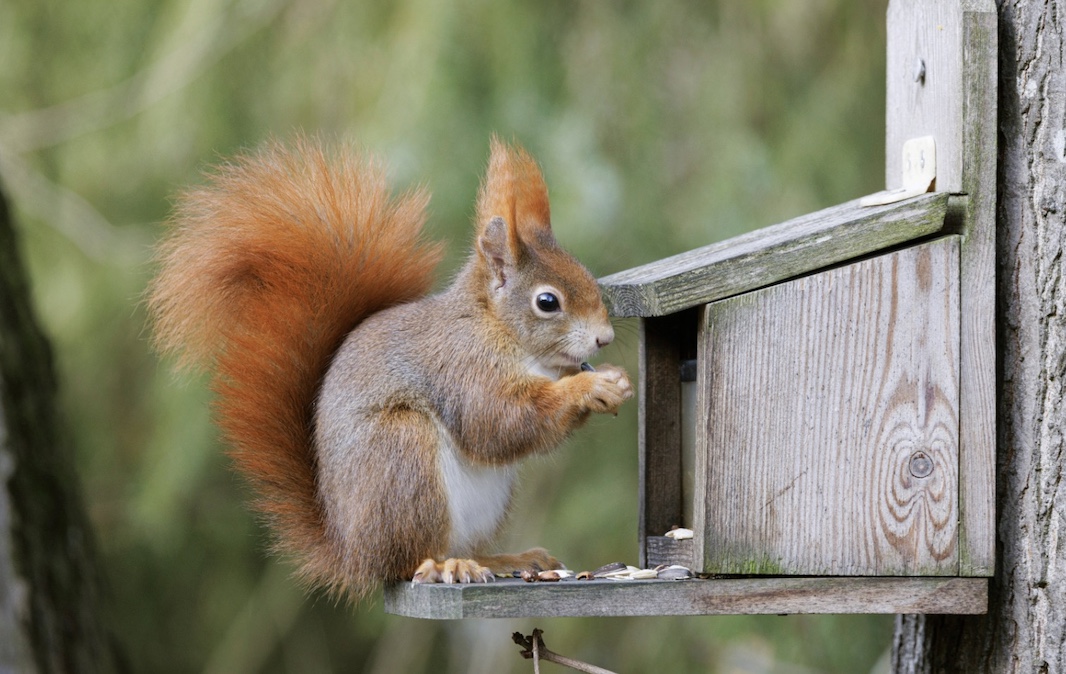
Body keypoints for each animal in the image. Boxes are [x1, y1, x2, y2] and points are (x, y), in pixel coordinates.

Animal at [148, 136, 631, 601]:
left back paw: (501, 559)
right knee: (404, 563)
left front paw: (615, 380)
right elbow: (498, 420)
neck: (498, 329)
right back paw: (442, 567)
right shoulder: (461, 366)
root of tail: (350, 551)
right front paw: (588, 387)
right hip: (401, 455)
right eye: (547, 302)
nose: (604, 338)